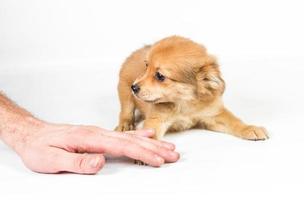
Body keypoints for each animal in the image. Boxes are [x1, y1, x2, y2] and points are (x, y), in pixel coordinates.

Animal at [114, 36, 268, 142]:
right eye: (146, 67)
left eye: (160, 76)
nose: (134, 87)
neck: (185, 103)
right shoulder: (157, 119)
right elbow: (150, 132)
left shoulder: (214, 115)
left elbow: (234, 121)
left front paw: (249, 128)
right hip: (125, 92)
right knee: (125, 112)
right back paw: (125, 125)